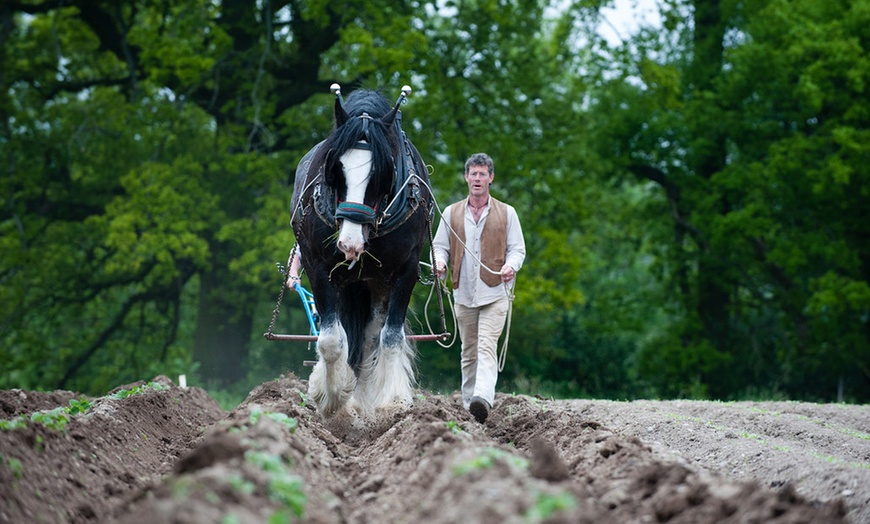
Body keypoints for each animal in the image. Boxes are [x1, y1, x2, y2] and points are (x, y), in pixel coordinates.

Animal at [290, 87, 432, 418]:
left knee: (370, 336)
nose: (349, 244)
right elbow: (331, 339)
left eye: (382, 172)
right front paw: (331, 396)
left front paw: (393, 402)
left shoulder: (406, 270)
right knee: (349, 335)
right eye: (335, 168)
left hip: (376, 283)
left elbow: (390, 337)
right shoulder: (318, 267)